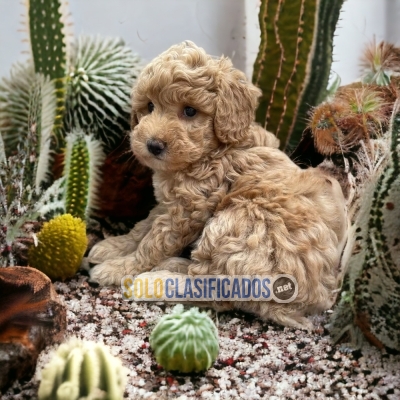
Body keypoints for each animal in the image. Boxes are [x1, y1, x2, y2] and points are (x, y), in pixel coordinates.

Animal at [88, 40, 346, 330]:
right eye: (150, 106)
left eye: (190, 111)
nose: (153, 145)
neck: (212, 151)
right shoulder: (169, 204)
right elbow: (141, 229)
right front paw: (114, 247)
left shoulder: (188, 210)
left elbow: (152, 243)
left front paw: (119, 268)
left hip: (239, 220)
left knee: (215, 288)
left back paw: (155, 282)